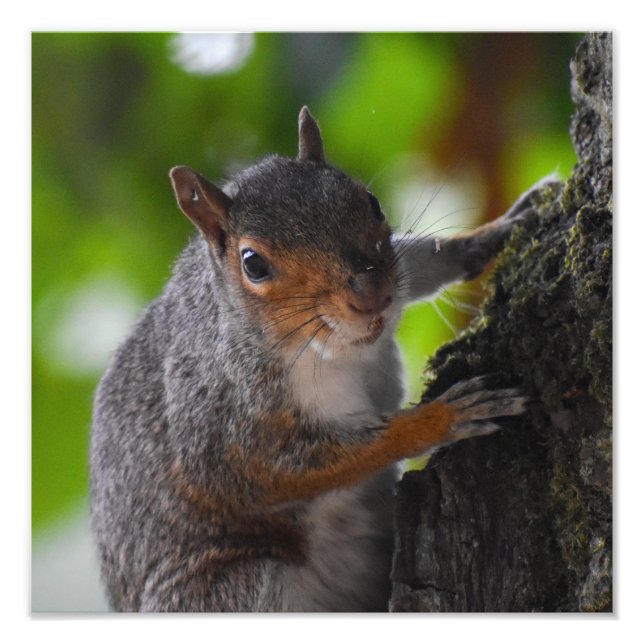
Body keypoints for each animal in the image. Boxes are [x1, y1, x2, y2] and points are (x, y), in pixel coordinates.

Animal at [90, 106, 544, 612]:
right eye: (253, 264)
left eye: (372, 202)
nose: (371, 294)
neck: (333, 349)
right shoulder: (225, 425)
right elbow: (297, 466)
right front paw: (444, 417)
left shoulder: (397, 273)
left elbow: (424, 262)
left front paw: (501, 229)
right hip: (227, 592)